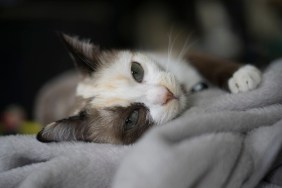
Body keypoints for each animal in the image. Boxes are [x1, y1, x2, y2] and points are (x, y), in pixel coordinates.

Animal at [36, 33, 262, 145]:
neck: (190, 89)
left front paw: (242, 76)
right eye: (131, 119)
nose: (166, 94)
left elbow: (210, 62)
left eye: (136, 71)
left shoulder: (184, 57)